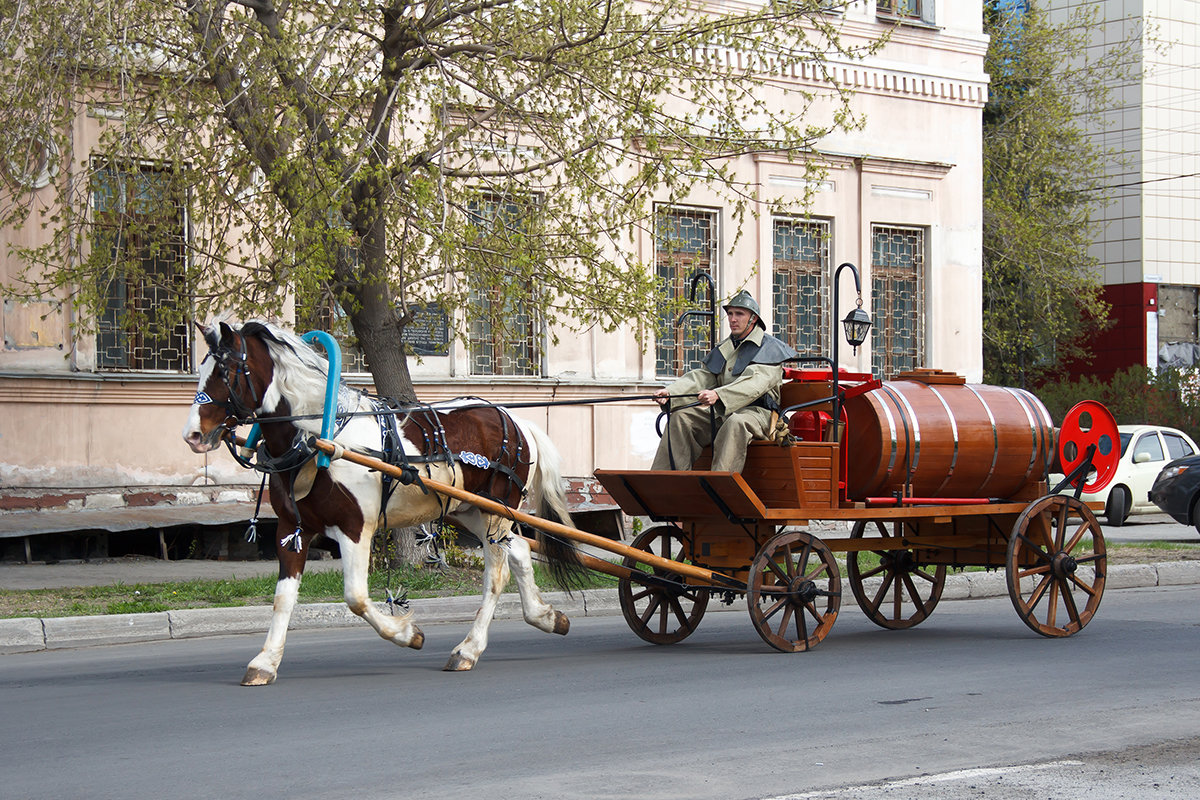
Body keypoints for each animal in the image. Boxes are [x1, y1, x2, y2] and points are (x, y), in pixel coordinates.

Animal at [181, 321, 585, 686]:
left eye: (226, 371)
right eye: (201, 369)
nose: (193, 435)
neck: (320, 437)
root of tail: (516, 421)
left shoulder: (355, 528)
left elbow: (356, 598)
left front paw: (408, 634)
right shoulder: (292, 529)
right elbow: (283, 599)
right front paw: (265, 662)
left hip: (494, 511)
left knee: (496, 574)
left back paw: (468, 649)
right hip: (470, 511)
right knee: (519, 550)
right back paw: (545, 616)